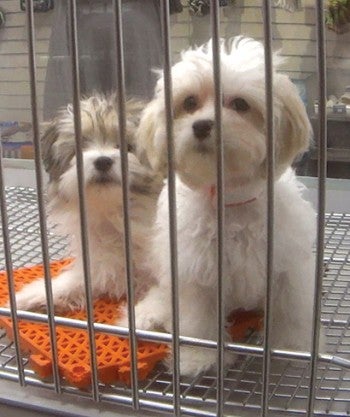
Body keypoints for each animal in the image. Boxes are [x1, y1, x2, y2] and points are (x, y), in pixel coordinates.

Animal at [13, 92, 161, 310]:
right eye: (79, 148)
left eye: (127, 147)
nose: (103, 161)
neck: (114, 216)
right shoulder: (97, 265)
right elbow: (76, 280)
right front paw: (35, 294)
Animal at [119, 39, 322, 376]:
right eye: (189, 102)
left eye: (240, 104)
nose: (202, 125)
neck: (231, 200)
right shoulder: (196, 271)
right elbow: (198, 321)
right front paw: (198, 357)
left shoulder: (287, 267)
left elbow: (290, 310)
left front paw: (293, 349)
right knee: (165, 292)